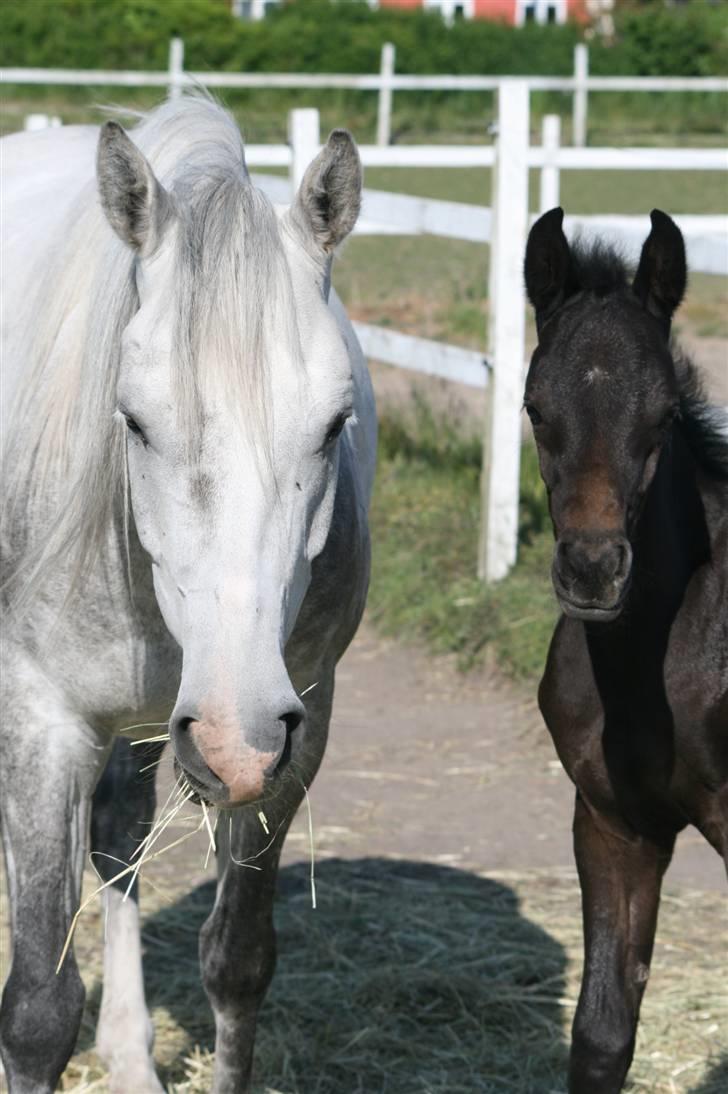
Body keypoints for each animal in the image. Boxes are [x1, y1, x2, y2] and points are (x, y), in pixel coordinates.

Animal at [0, 98, 374, 1089]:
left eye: (335, 424)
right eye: (133, 420)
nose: (234, 742)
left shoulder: (301, 721)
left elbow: (237, 964)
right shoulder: (41, 726)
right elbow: (36, 1012)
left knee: (120, 844)